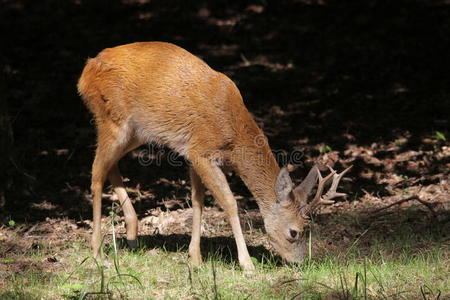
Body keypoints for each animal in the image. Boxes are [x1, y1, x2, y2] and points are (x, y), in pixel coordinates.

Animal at [77, 41, 352, 270]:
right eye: (294, 232)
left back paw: (133, 235)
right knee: (95, 173)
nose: (300, 263)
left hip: (137, 132)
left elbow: (197, 200)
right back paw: (97, 253)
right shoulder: (201, 151)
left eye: (308, 229)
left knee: (110, 166)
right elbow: (229, 202)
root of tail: (85, 72)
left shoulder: (191, 154)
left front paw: (195, 259)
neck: (233, 133)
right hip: (111, 118)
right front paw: (246, 264)